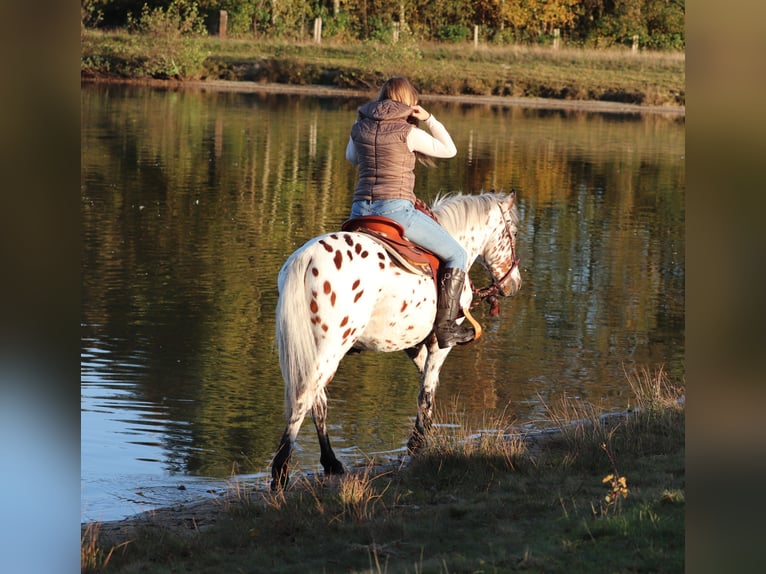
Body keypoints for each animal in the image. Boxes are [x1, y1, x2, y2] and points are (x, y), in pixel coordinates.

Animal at [270, 192, 520, 490]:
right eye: (514, 232)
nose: (514, 284)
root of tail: (307, 258)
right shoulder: (441, 343)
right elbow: (426, 390)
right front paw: (417, 443)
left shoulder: (413, 345)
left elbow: (427, 383)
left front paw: (424, 433)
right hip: (330, 348)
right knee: (304, 398)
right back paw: (280, 472)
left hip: (318, 349)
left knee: (317, 402)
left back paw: (331, 463)